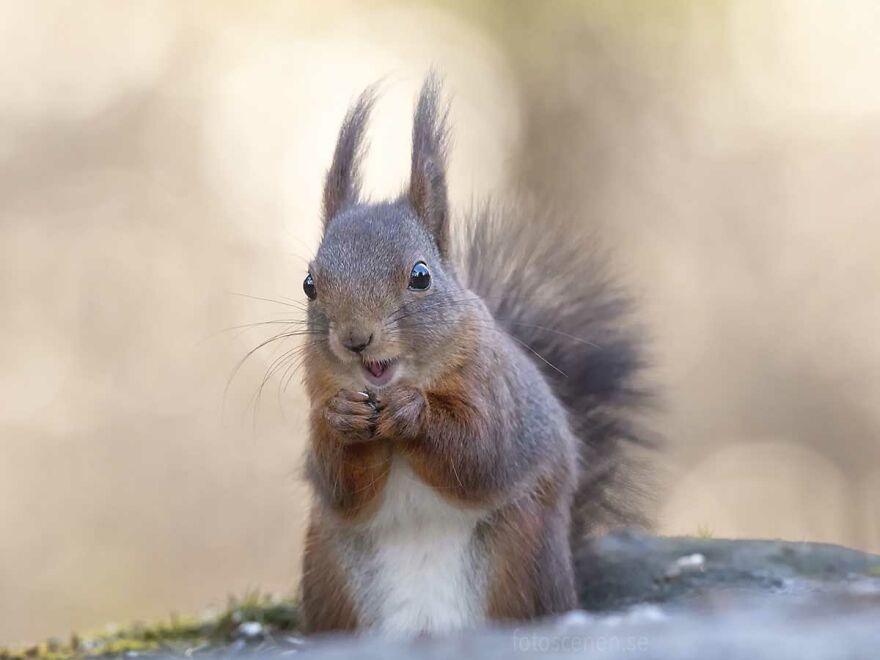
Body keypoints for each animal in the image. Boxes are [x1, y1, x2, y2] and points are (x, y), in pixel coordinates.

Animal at [298, 76, 649, 637]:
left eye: (421, 276)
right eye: (310, 284)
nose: (355, 338)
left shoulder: (493, 389)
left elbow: (479, 453)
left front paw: (412, 412)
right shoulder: (316, 396)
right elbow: (341, 486)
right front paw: (343, 419)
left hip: (521, 555)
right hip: (330, 570)